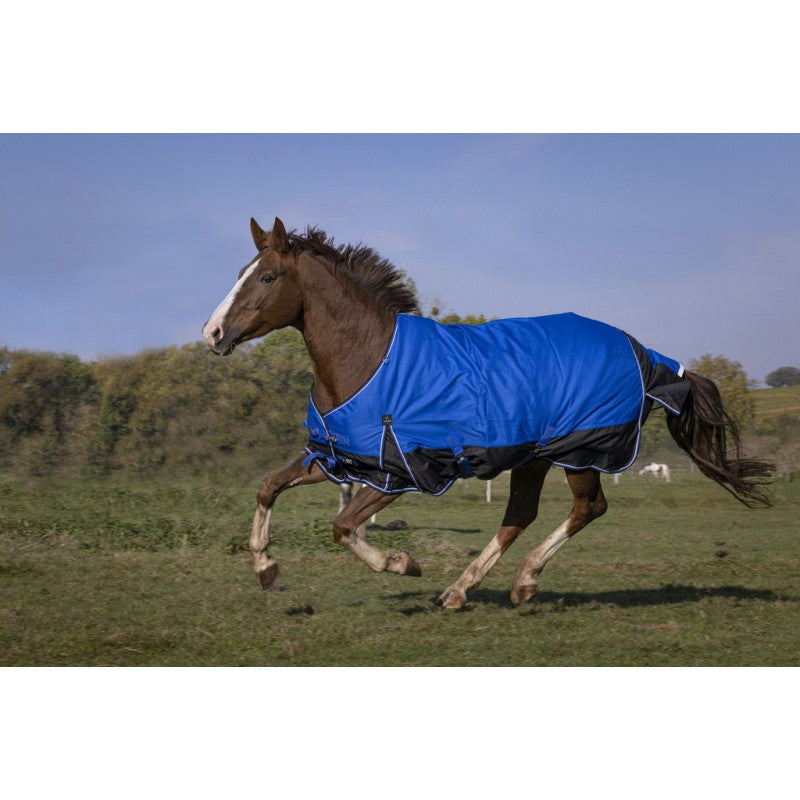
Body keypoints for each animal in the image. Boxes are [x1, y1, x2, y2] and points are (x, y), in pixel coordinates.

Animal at [202, 217, 773, 609]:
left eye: (268, 277)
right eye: (240, 272)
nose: (212, 333)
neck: (368, 359)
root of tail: (645, 353)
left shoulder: (404, 472)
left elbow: (343, 526)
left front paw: (402, 563)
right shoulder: (339, 457)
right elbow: (268, 488)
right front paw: (266, 568)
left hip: (581, 451)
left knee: (587, 508)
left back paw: (519, 582)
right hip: (534, 456)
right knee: (520, 515)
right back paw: (462, 590)